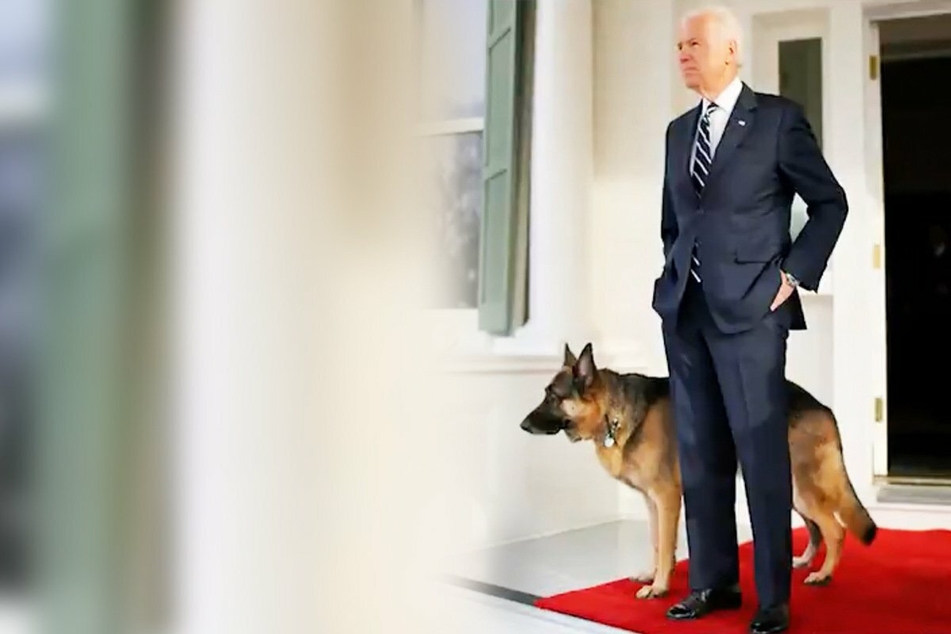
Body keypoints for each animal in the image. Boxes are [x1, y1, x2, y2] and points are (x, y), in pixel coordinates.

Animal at [520, 340, 876, 596]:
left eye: (553, 397)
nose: (522, 425)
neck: (613, 413)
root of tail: (822, 406)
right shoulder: (651, 502)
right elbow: (656, 542)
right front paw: (652, 575)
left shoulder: (666, 498)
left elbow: (665, 544)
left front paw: (659, 587)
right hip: (789, 491)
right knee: (816, 529)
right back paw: (803, 561)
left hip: (799, 489)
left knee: (835, 530)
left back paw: (823, 575)